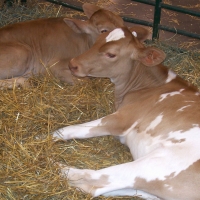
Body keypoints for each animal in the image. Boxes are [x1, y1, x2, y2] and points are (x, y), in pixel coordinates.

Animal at [53, 27, 200, 200]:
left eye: (111, 54)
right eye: (97, 40)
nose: (73, 64)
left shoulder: (122, 119)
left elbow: (70, 129)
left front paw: (41, 138)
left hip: (157, 163)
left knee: (95, 180)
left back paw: (58, 167)